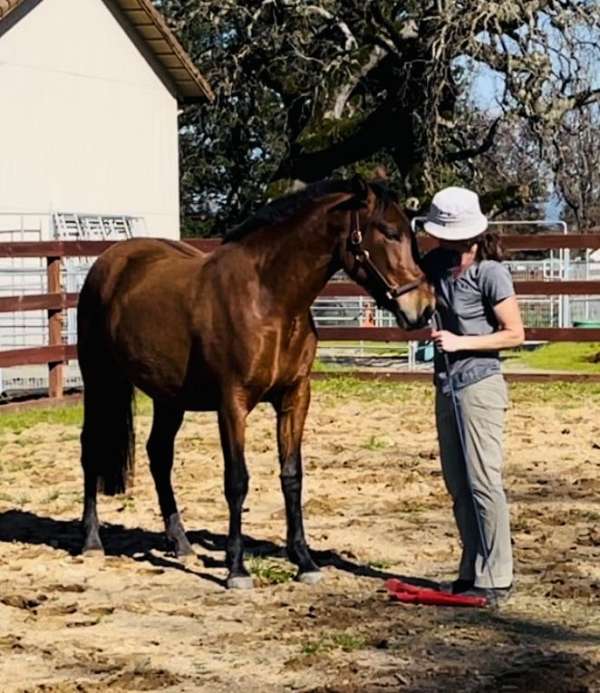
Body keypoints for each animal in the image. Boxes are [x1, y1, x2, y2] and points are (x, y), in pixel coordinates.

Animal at [77, 176, 434, 588]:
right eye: (389, 233)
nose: (424, 308)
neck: (270, 299)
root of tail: (111, 260)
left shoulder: (295, 397)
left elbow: (292, 476)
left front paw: (304, 561)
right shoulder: (232, 403)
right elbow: (237, 481)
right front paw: (237, 568)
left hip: (169, 398)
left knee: (159, 455)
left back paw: (181, 544)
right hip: (99, 380)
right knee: (91, 448)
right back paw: (91, 541)